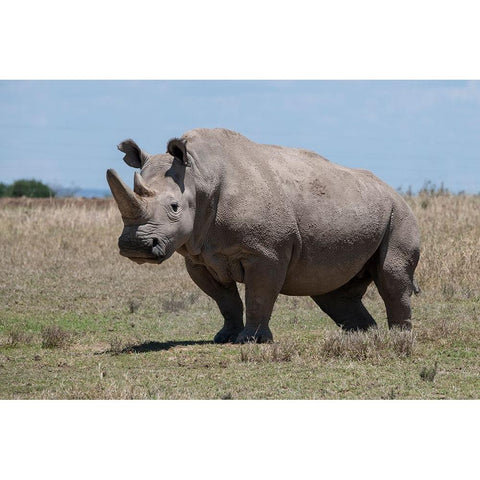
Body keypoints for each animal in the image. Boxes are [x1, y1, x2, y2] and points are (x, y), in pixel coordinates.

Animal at [108, 129, 420, 344]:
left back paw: (398, 338)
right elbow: (226, 301)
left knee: (391, 275)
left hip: (399, 213)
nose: (135, 245)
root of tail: (392, 190)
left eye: (174, 207)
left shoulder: (266, 252)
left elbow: (259, 296)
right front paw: (224, 337)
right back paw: (361, 337)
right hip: (357, 206)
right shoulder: (199, 256)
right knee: (332, 290)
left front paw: (251, 340)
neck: (199, 175)